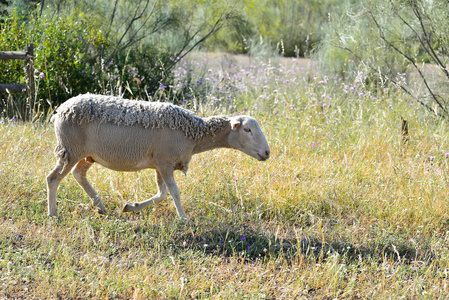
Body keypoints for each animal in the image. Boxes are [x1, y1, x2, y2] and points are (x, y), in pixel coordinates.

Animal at [46, 93, 270, 220]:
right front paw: (184, 219)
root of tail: (59, 111)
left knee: (79, 174)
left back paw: (100, 206)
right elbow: (174, 192)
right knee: (53, 178)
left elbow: (161, 194)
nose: (267, 152)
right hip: (70, 149)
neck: (193, 134)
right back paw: (53, 214)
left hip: (87, 154)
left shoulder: (160, 164)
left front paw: (131, 207)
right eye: (248, 130)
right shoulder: (165, 162)